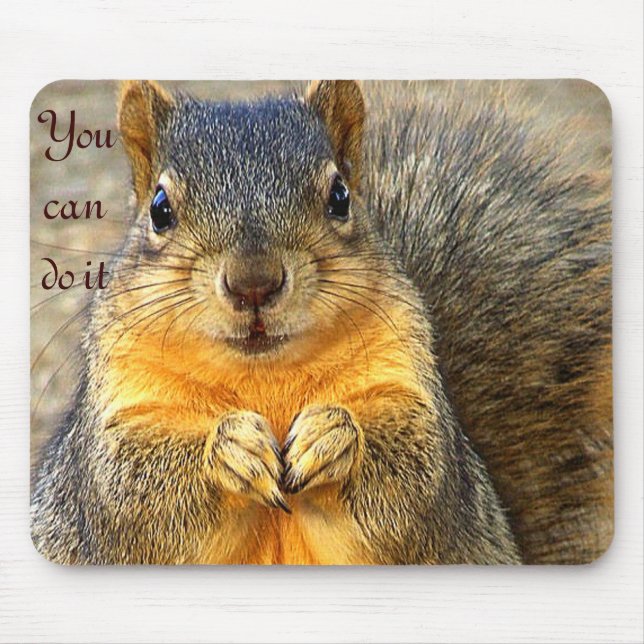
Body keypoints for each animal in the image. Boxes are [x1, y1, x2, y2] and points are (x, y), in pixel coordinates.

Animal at [31, 80, 612, 565]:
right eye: (159, 208)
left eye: (340, 197)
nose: (254, 282)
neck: (263, 375)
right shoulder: (117, 424)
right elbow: (130, 492)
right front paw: (231, 448)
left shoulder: (414, 400)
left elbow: (415, 481)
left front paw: (332, 436)